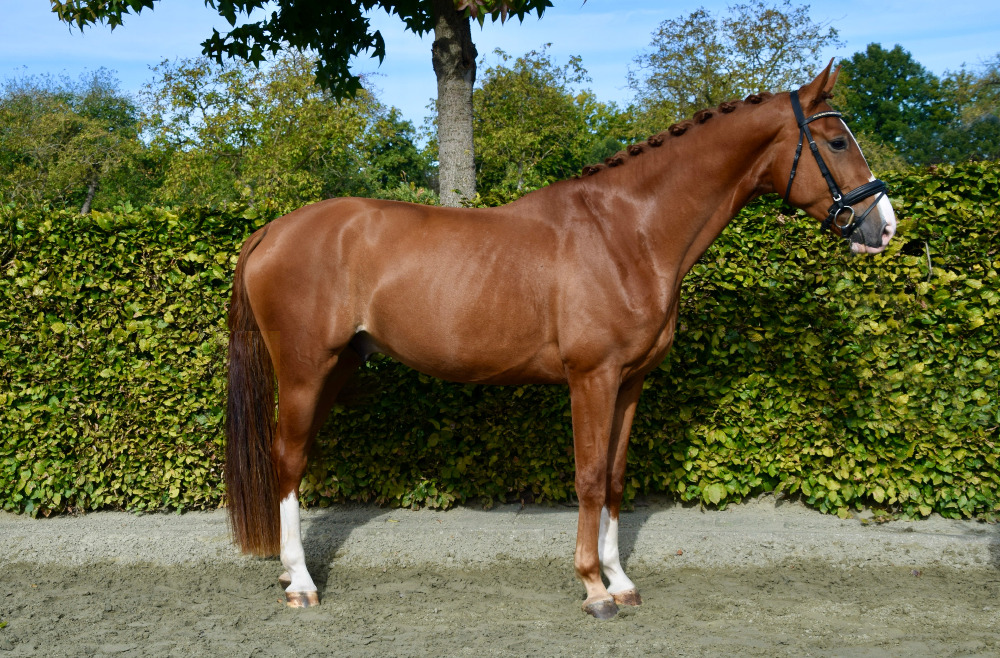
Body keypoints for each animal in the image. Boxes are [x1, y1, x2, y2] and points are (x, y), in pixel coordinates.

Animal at [224, 62, 896, 619]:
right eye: (837, 141)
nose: (883, 227)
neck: (628, 232)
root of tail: (272, 230)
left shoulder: (630, 381)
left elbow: (617, 477)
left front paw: (621, 581)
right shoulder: (591, 377)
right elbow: (590, 476)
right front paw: (594, 588)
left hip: (338, 367)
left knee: (297, 459)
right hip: (306, 369)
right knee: (287, 459)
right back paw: (301, 583)